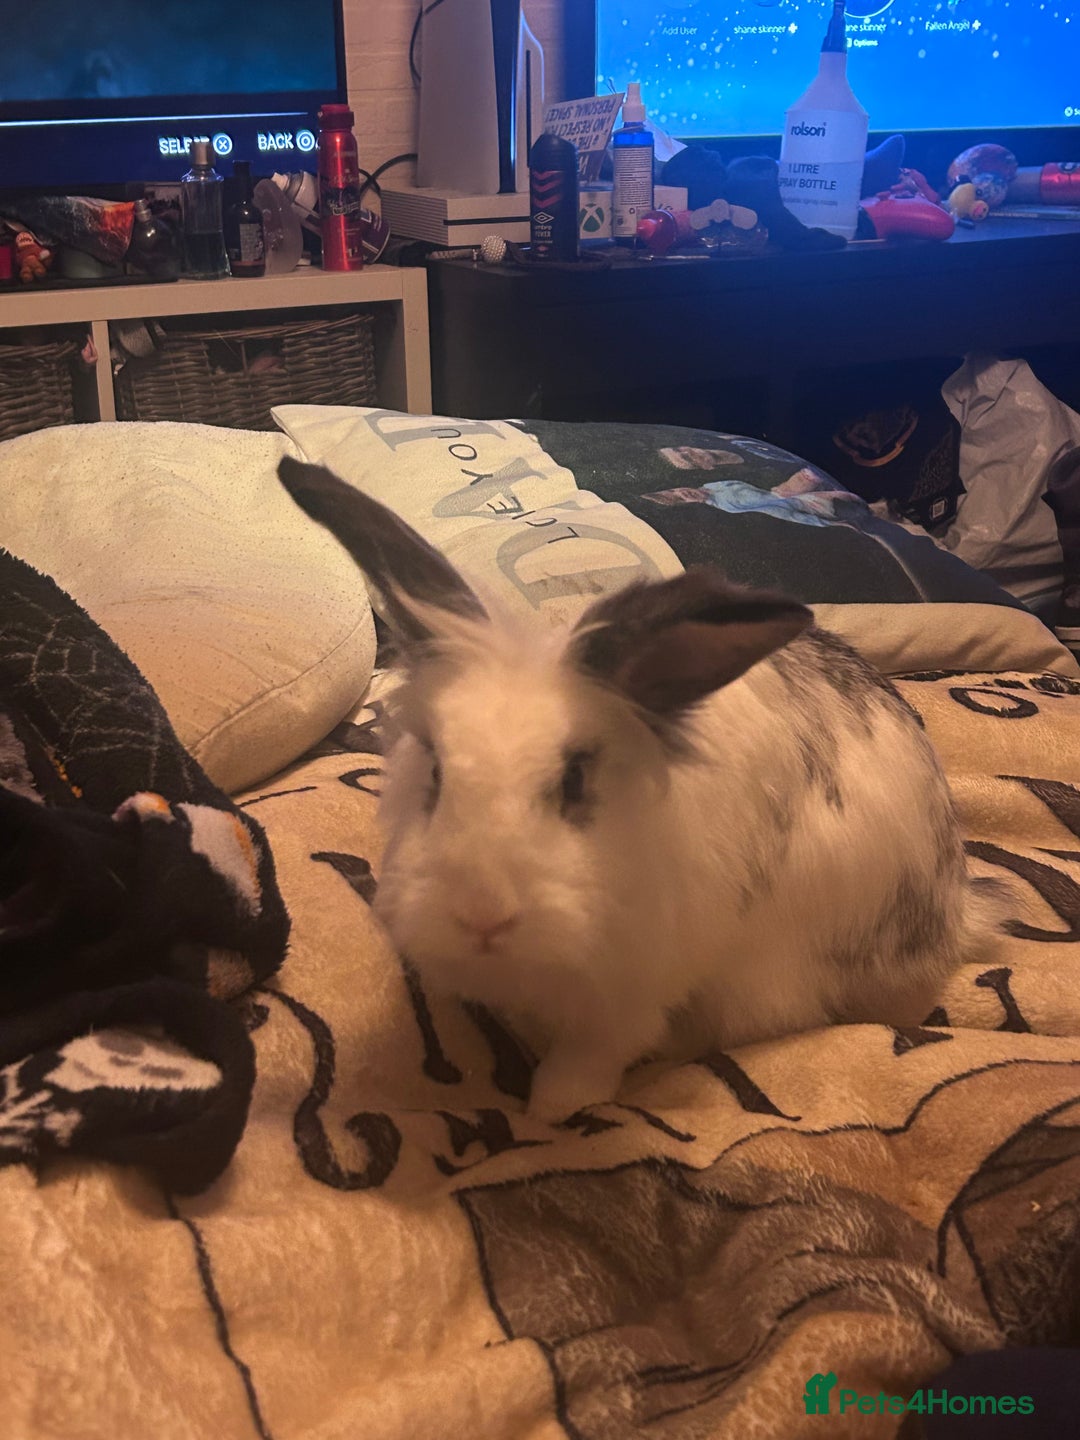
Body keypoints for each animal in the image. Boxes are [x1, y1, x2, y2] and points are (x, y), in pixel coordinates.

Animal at [278, 456, 1007, 1123]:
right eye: (436, 772)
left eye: (575, 778)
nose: (482, 916)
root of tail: (958, 910)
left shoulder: (631, 995)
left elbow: (589, 1059)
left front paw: (552, 1108)